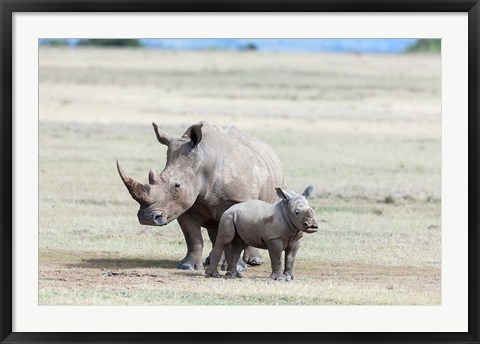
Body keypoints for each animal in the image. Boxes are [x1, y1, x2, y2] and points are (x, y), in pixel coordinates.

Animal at [116, 121, 284, 272]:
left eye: (177, 186)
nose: (146, 218)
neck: (203, 162)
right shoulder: (181, 205)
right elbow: (192, 237)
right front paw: (188, 266)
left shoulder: (237, 200)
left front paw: (236, 267)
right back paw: (213, 260)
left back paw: (254, 262)